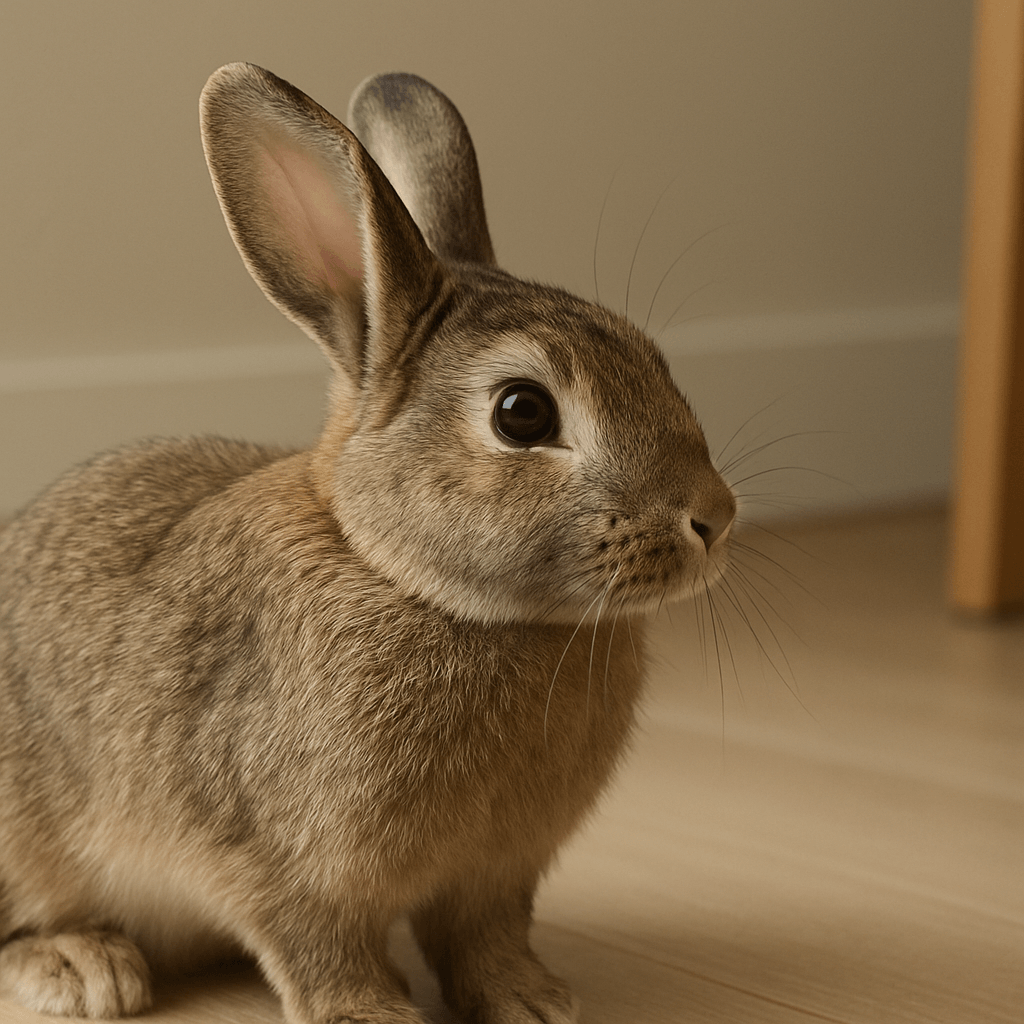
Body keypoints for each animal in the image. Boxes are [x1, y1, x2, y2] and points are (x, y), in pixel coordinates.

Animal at [0, 63, 736, 1024]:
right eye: (522, 414)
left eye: (653, 358)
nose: (715, 517)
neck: (401, 574)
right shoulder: (283, 866)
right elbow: (320, 947)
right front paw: (372, 1014)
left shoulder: (495, 875)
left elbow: (486, 940)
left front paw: (534, 1003)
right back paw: (81, 969)